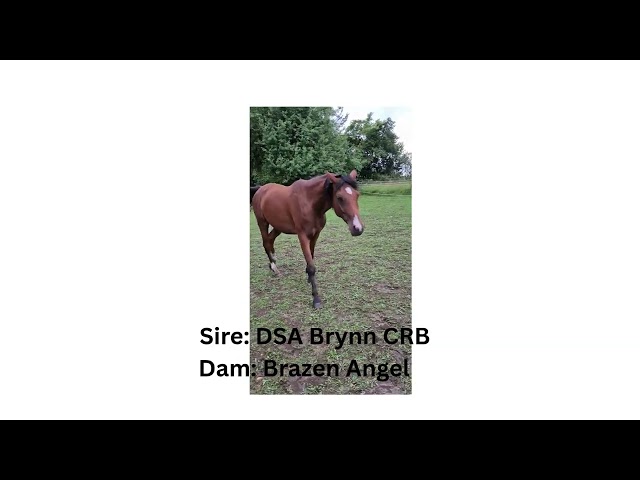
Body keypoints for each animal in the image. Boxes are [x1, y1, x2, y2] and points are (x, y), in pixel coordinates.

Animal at [250, 170, 364, 309]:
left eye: (357, 195)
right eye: (339, 198)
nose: (358, 228)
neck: (309, 203)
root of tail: (261, 189)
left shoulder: (315, 235)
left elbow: (311, 258)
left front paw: (309, 280)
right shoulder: (303, 236)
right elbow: (311, 267)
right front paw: (316, 298)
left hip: (278, 226)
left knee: (270, 241)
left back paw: (273, 264)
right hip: (262, 223)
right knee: (266, 242)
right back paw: (274, 267)